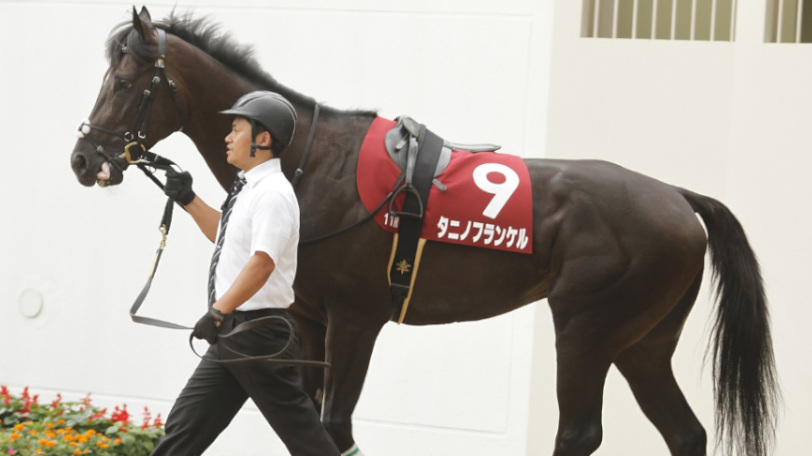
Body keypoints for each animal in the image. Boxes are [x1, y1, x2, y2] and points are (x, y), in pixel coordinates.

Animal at [70, 7, 778, 456]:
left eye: (126, 82)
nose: (82, 160)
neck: (309, 163)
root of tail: (679, 198)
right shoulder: (307, 323)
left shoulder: (355, 321)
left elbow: (334, 426)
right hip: (642, 342)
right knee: (684, 433)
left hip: (585, 328)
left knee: (580, 432)